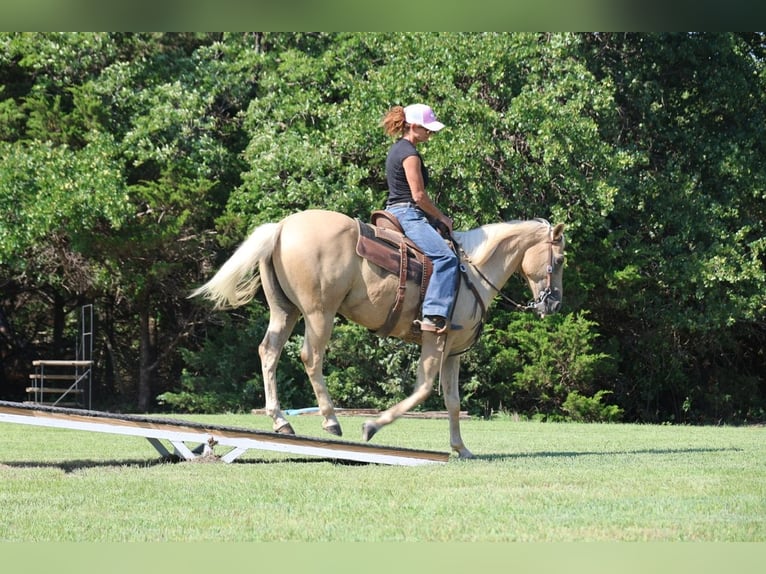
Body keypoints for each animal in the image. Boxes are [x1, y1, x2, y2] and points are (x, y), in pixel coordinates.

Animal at [191, 209, 565, 458]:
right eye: (559, 260)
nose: (553, 303)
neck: (472, 271)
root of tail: (282, 227)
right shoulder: (435, 339)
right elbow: (423, 390)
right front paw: (371, 426)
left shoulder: (453, 351)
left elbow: (453, 401)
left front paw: (461, 448)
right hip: (319, 314)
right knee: (311, 357)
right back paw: (330, 420)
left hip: (285, 311)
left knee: (268, 352)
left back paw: (281, 422)